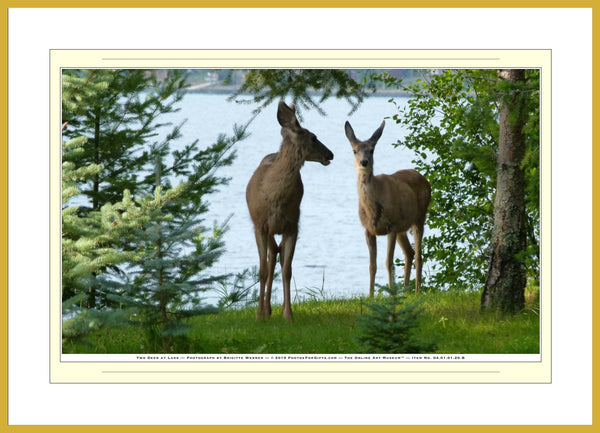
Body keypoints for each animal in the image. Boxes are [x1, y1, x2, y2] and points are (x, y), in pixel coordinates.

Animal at [246, 101, 336, 320]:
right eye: (313, 137)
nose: (330, 154)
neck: (274, 198)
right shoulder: (259, 225)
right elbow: (261, 270)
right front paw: (259, 315)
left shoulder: (293, 225)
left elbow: (287, 270)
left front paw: (288, 314)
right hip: (266, 229)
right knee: (270, 258)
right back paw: (266, 309)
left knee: (275, 255)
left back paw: (271, 308)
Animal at [342, 120, 432, 296]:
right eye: (354, 150)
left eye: (371, 150)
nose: (364, 162)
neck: (373, 210)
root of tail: (425, 179)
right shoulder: (368, 230)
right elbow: (372, 266)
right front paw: (370, 296)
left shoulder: (392, 226)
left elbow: (388, 262)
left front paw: (391, 294)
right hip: (403, 227)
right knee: (409, 252)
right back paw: (405, 291)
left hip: (419, 216)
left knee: (419, 255)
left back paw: (416, 291)